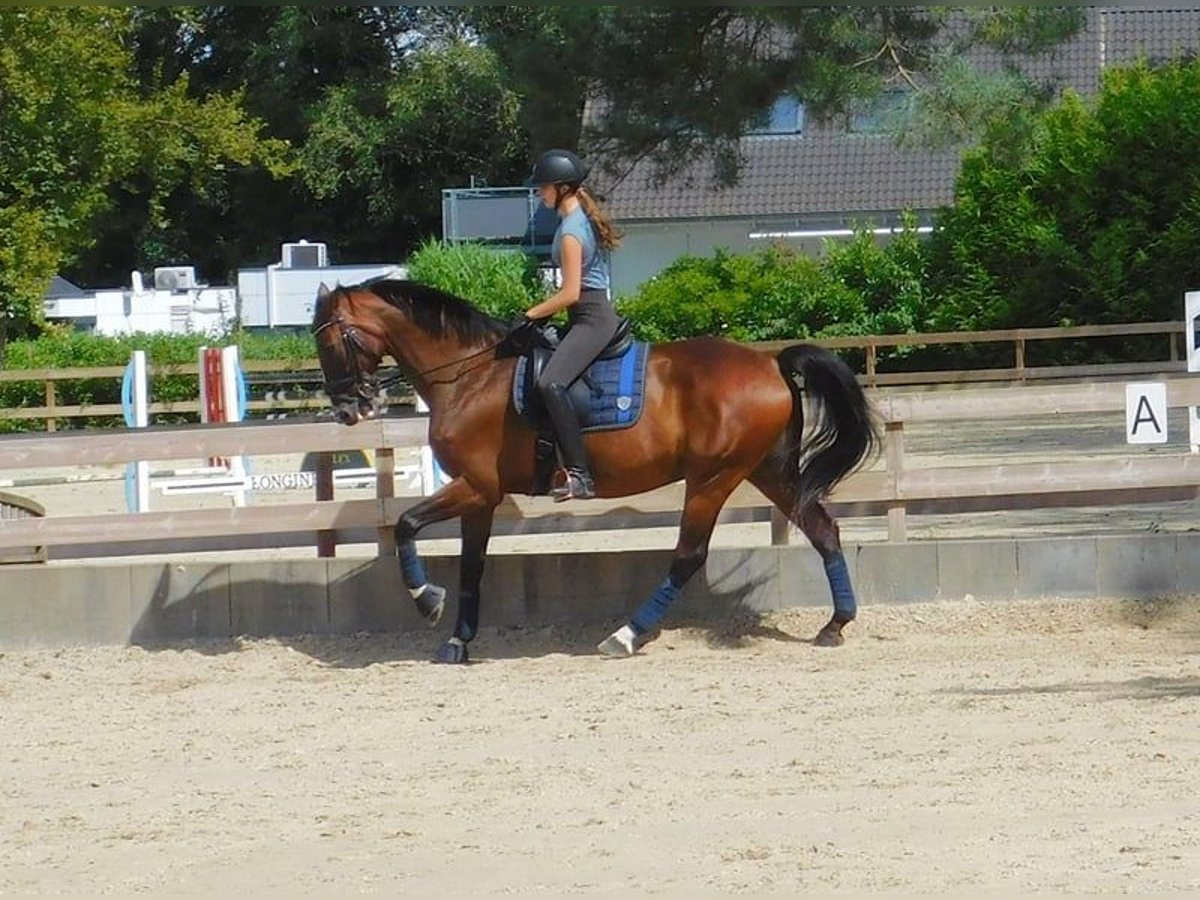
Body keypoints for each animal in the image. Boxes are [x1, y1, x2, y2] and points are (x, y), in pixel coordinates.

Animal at [316, 278, 883, 667]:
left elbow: (406, 525)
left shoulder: (474, 486)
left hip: (712, 478)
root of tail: (769, 364)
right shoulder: (482, 495)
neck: (469, 376)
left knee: (688, 556)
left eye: (330, 343)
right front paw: (457, 640)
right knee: (823, 530)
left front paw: (427, 601)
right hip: (768, 469)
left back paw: (626, 635)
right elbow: (471, 568)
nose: (346, 410)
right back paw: (836, 624)